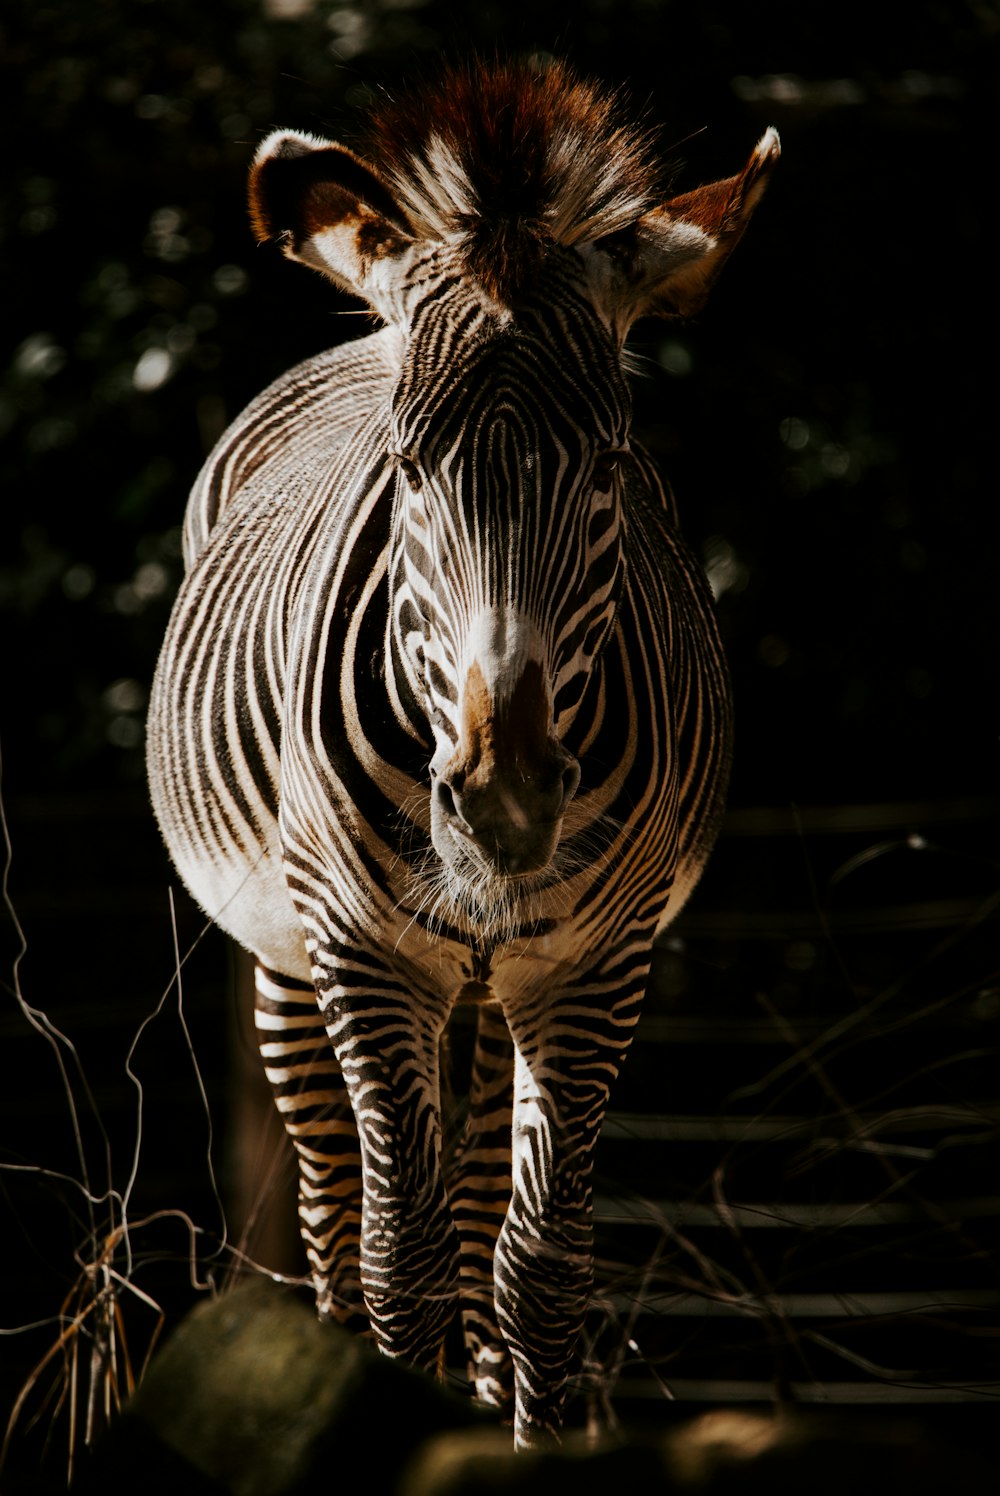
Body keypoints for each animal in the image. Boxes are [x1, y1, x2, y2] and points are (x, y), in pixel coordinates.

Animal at [144, 61, 778, 1448]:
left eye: (609, 469)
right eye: (406, 467)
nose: (504, 803)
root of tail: (352, 332)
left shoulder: (591, 965)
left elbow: (535, 1268)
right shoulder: (364, 952)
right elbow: (402, 1257)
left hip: (492, 983)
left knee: (487, 1222)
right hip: (288, 958)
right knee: (337, 1223)